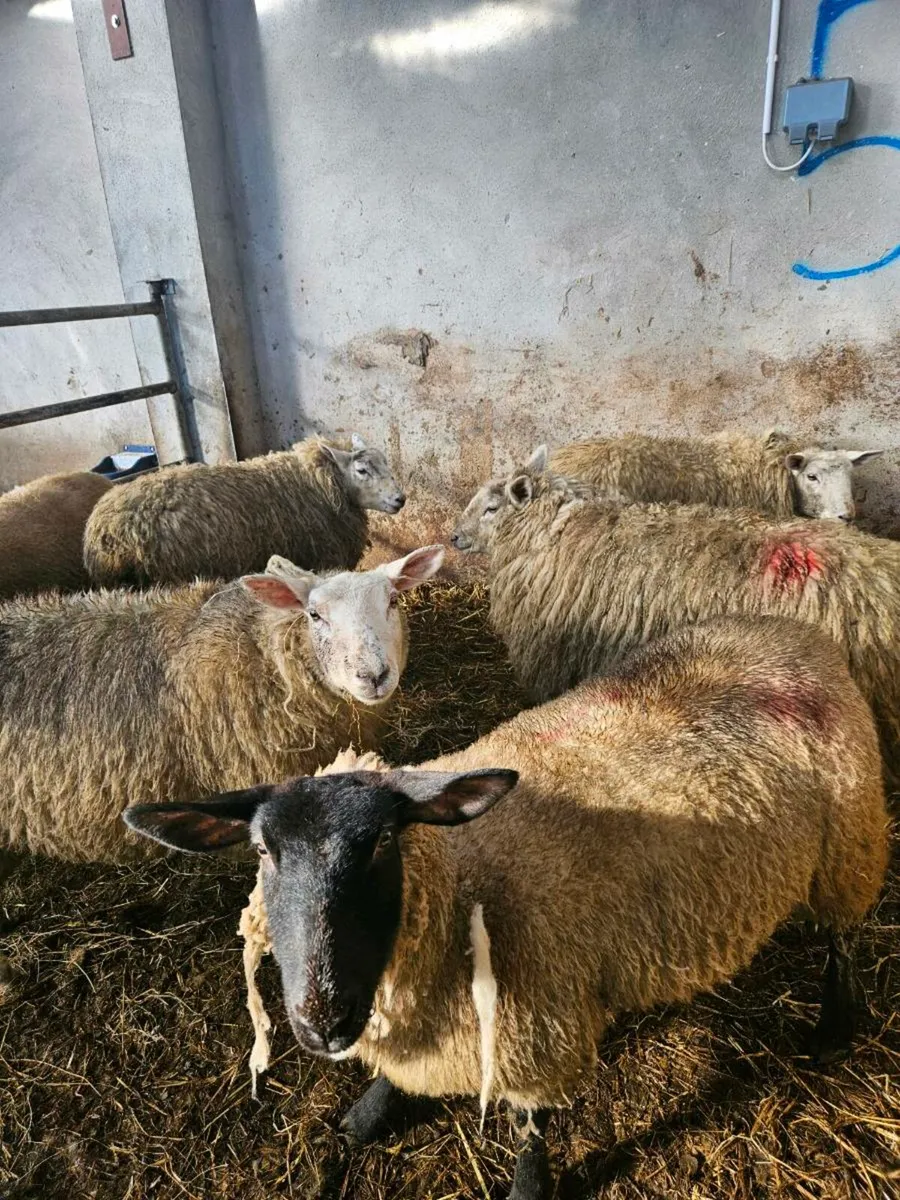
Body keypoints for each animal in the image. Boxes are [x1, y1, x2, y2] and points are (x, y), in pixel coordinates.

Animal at [124, 616, 888, 1200]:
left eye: (382, 843)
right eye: (262, 850)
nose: (321, 1021)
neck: (463, 876)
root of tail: (784, 629)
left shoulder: (536, 1031)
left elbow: (531, 1131)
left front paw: (528, 1187)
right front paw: (369, 1113)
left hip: (849, 842)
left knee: (844, 937)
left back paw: (834, 1024)